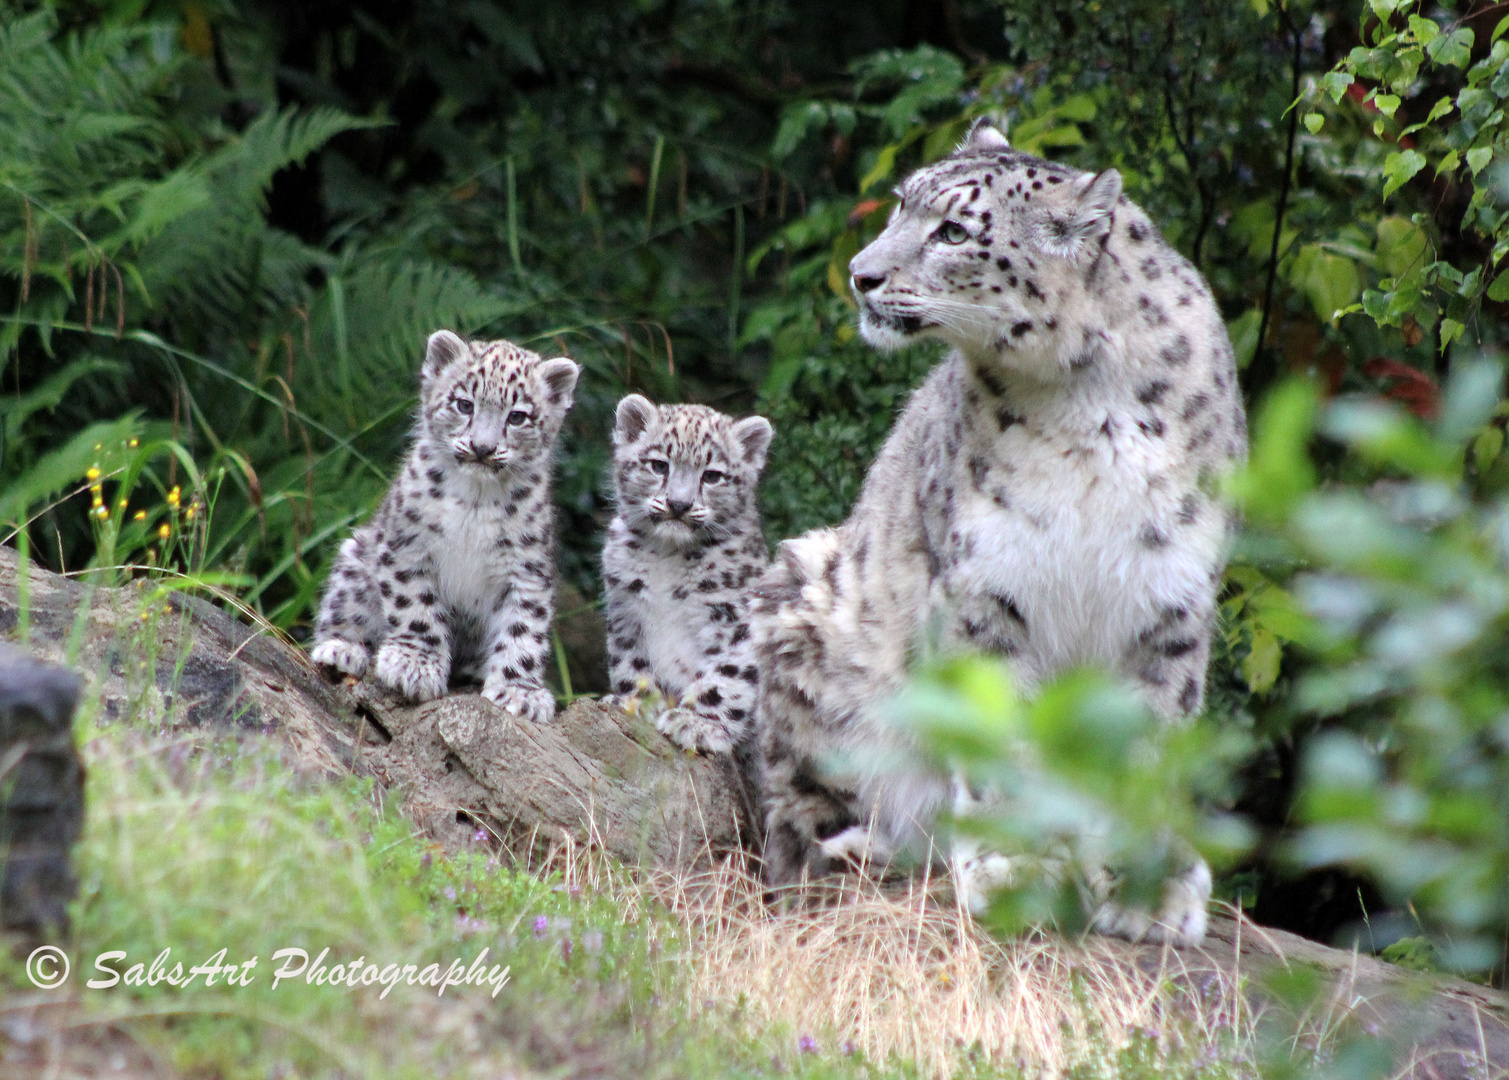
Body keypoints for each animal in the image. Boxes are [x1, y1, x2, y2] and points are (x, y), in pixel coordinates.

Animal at [310, 324, 576, 721]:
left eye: (518, 417)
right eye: (464, 404)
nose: (482, 447)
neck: (476, 501)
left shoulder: (526, 570)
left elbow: (524, 629)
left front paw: (519, 691)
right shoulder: (408, 545)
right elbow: (416, 606)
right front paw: (414, 666)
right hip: (355, 560)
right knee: (343, 607)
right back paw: (342, 650)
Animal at [748, 122, 1243, 941]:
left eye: (953, 231)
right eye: (900, 203)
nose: (860, 275)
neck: (1087, 405)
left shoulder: (1169, 596)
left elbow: (1150, 739)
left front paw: (1151, 892)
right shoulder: (985, 586)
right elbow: (995, 732)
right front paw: (1015, 868)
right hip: (804, 609)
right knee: (794, 816)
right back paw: (863, 849)